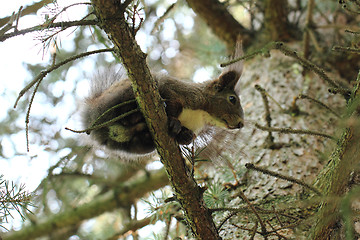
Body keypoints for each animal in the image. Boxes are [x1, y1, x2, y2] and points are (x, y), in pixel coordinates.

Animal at [81, 42, 245, 156]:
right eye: (232, 99)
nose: (241, 124)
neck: (201, 115)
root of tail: (91, 114)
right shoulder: (180, 92)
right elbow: (171, 101)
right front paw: (173, 121)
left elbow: (186, 137)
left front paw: (185, 136)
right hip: (124, 94)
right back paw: (134, 116)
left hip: (130, 146)